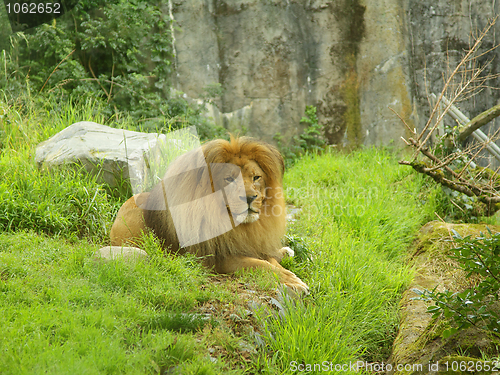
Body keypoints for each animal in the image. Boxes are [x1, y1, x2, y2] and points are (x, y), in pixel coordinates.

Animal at [109, 137, 308, 296]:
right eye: (229, 179)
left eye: (256, 177)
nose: (250, 198)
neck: (241, 227)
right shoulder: (218, 258)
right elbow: (259, 264)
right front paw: (293, 281)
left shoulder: (254, 243)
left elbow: (270, 260)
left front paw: (289, 274)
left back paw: (286, 251)